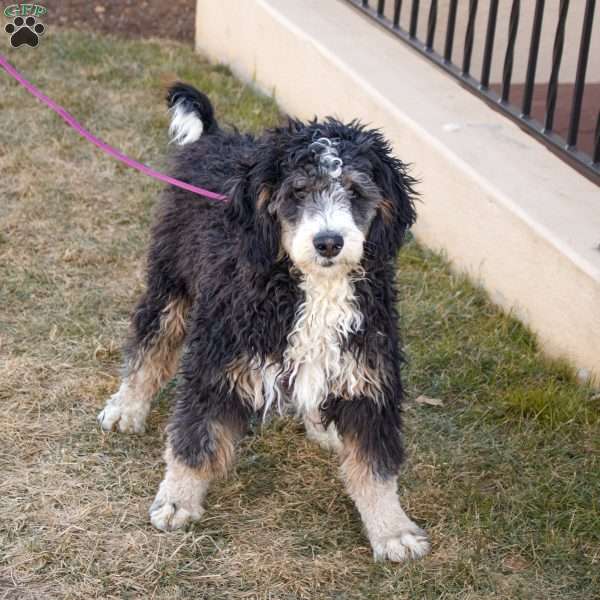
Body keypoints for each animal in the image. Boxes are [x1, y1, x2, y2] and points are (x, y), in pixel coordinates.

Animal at [96, 84, 428, 564]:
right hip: (171, 281)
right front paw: (177, 499)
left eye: (354, 190)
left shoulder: (367, 369)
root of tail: (215, 138)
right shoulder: (218, 357)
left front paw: (392, 530)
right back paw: (128, 404)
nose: (329, 242)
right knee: (151, 341)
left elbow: (375, 466)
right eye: (298, 191)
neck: (310, 286)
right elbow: (195, 439)